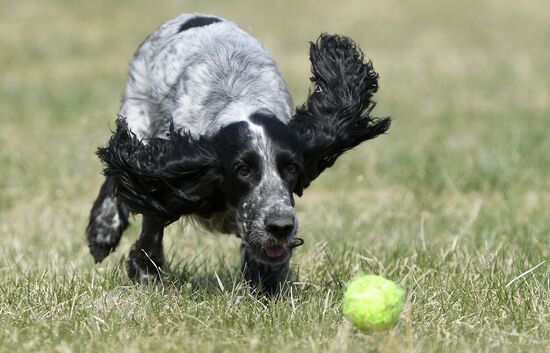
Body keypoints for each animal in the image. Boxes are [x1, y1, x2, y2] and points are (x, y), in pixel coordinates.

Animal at [85, 12, 392, 292]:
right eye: (242, 170)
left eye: (292, 168)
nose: (280, 226)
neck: (238, 100)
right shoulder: (169, 168)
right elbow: (151, 213)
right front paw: (144, 270)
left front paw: (266, 281)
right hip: (137, 111)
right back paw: (103, 232)